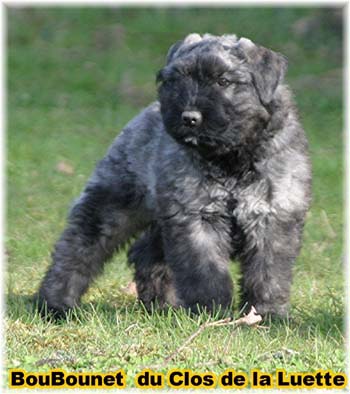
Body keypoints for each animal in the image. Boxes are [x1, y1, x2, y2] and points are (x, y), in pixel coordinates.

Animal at [38, 33, 312, 318]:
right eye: (177, 79)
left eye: (223, 81)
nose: (189, 117)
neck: (231, 160)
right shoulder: (197, 217)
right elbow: (206, 272)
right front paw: (211, 311)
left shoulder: (273, 216)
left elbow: (269, 273)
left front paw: (267, 314)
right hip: (111, 207)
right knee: (78, 249)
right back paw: (56, 304)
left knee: (145, 253)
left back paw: (161, 305)